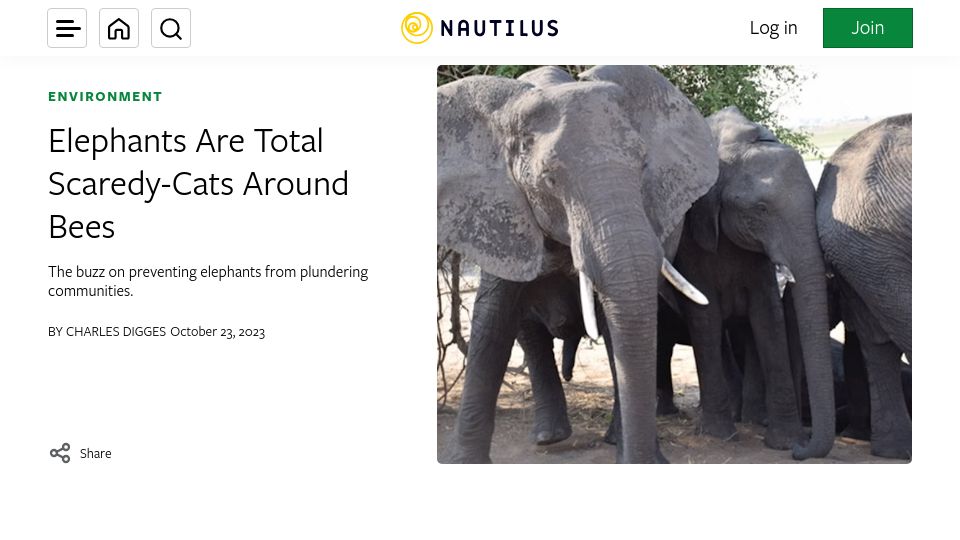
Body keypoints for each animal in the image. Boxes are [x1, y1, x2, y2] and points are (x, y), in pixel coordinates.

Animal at [438, 65, 719, 463]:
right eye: (549, 179)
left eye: (643, 166)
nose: (645, 461)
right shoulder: (501, 216)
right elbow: (492, 322)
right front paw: (461, 461)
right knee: (529, 331)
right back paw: (548, 437)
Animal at [667, 107, 835, 457]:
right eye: (761, 209)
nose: (801, 450)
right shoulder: (691, 232)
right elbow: (705, 317)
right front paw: (719, 436)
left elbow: (767, 314)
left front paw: (784, 441)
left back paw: (752, 417)